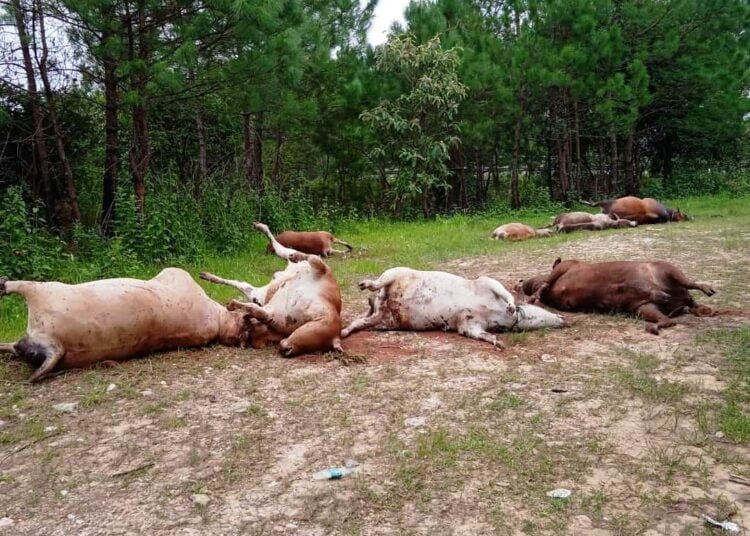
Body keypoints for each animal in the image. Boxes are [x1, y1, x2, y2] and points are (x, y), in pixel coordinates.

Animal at [0, 269, 254, 382]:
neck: (218, 321)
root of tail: (57, 346)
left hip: (42, 291)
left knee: (20, 286)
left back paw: (4, 284)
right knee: (14, 346)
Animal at [201, 222, 343, 357]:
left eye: (315, 349)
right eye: (315, 332)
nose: (286, 350)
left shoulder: (270, 312)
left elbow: (257, 311)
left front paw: (236, 306)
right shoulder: (323, 271)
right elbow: (314, 258)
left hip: (258, 294)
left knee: (240, 284)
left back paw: (208, 276)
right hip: (286, 254)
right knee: (281, 247)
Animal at [340, 267, 565, 348]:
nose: (564, 320)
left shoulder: (468, 324)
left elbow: (480, 334)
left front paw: (496, 341)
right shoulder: (483, 289)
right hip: (396, 273)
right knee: (378, 282)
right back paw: (365, 285)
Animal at [516, 258, 716, 334]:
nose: (521, 282)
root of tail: (685, 300)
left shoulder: (566, 265)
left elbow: (546, 282)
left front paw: (534, 296)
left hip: (667, 268)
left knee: (689, 283)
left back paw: (708, 289)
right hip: (643, 308)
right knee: (668, 319)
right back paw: (654, 326)